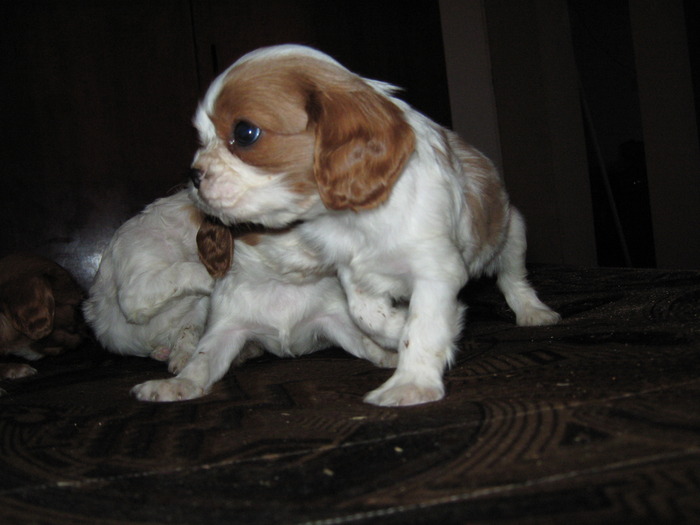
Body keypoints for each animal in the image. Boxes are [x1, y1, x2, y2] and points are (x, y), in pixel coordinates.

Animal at [130, 198, 394, 402]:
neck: (280, 283)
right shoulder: (227, 327)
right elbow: (202, 360)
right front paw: (179, 384)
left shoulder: (334, 317)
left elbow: (366, 340)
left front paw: (392, 355)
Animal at [187, 45, 564, 406]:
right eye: (201, 138)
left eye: (245, 133)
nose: (193, 175)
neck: (351, 219)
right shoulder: (353, 273)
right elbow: (365, 316)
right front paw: (397, 327)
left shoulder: (435, 271)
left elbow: (423, 327)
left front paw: (411, 384)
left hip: (512, 234)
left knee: (513, 278)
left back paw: (533, 312)